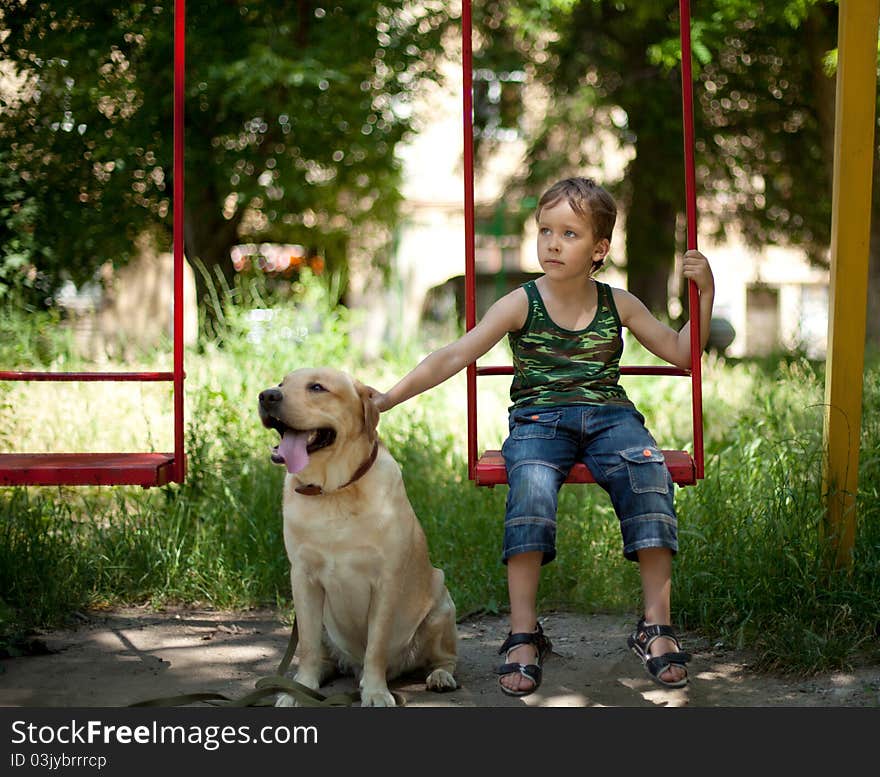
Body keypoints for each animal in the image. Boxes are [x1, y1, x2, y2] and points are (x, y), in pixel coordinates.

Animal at [258, 366, 458, 708]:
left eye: (317, 388)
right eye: (282, 383)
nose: (268, 395)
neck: (333, 491)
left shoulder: (386, 581)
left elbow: (375, 646)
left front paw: (375, 692)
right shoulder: (303, 578)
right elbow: (306, 645)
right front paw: (300, 688)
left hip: (441, 605)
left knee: (445, 658)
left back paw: (440, 676)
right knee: (322, 656)